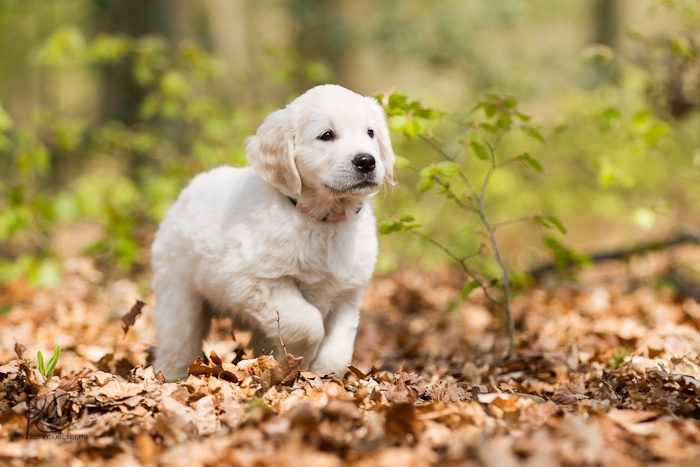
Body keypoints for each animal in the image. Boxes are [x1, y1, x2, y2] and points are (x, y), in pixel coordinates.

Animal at [151, 86, 394, 382]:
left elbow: (338, 348)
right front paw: (299, 360)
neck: (323, 220)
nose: (367, 161)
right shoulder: (256, 282)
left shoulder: (347, 294)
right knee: (178, 339)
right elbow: (309, 324)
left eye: (370, 132)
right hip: (178, 293)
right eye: (326, 135)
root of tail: (188, 190)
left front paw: (323, 374)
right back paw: (172, 376)